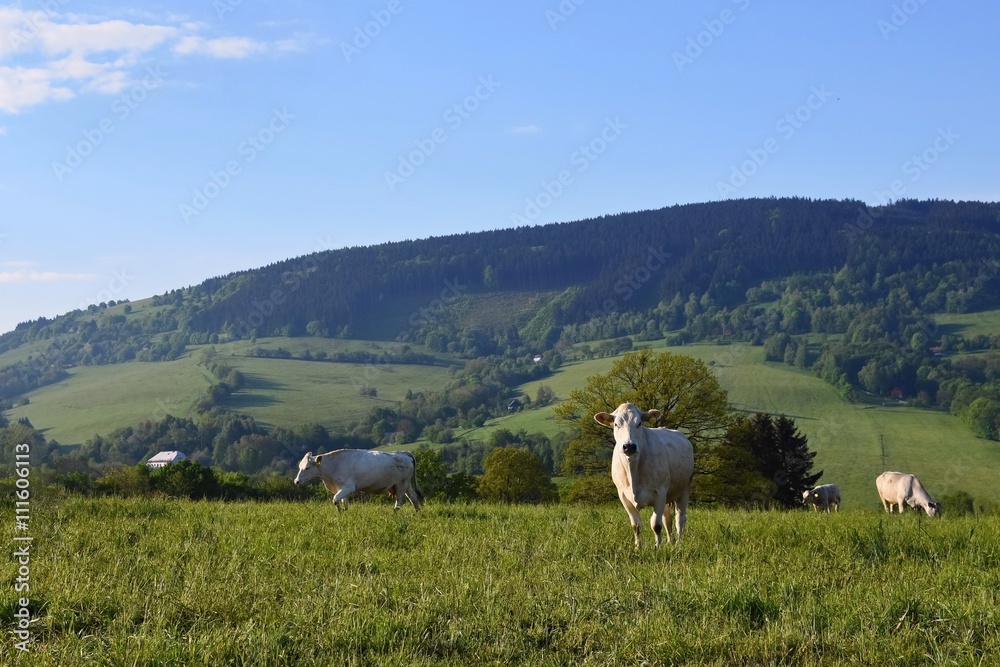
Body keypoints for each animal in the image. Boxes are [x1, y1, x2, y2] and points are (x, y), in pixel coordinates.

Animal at [294, 448, 424, 512]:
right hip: (406, 484)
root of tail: (404, 453)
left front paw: (340, 512)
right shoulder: (341, 488)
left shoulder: (348, 487)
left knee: (399, 502)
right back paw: (417, 513)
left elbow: (335, 499)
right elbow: (344, 503)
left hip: (401, 484)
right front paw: (344, 513)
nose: (296, 481)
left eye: (307, 468)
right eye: (299, 466)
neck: (334, 464)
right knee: (414, 497)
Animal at [592, 402, 696, 548]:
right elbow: (636, 525)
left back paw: (679, 542)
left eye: (639, 423)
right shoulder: (623, 496)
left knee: (680, 519)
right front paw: (638, 547)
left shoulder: (660, 492)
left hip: (685, 489)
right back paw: (670, 542)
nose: (629, 446)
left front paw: (657, 547)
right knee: (667, 520)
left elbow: (656, 524)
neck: (633, 469)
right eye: (616, 424)